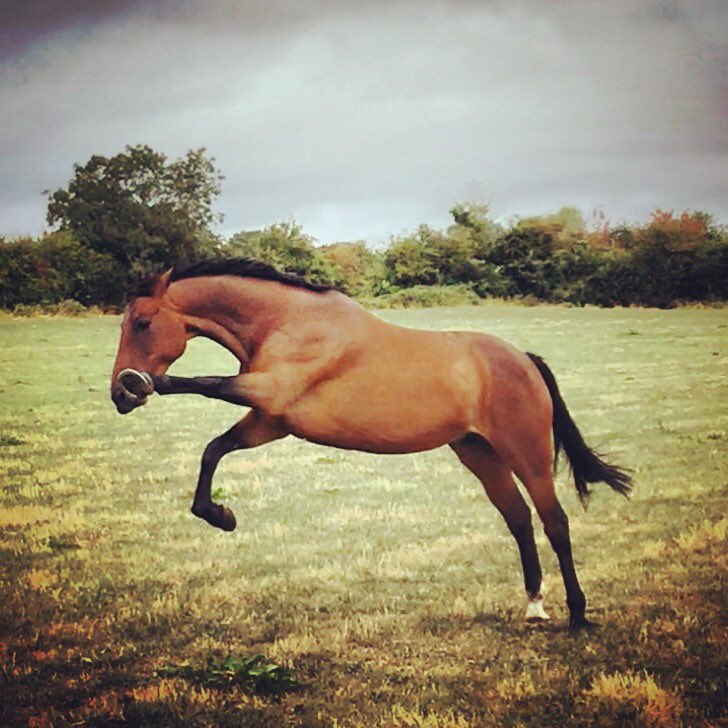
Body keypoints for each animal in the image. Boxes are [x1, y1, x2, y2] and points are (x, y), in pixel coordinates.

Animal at [110, 258, 631, 630]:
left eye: (142, 322)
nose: (117, 393)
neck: (289, 321)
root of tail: (523, 358)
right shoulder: (269, 420)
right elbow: (213, 450)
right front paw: (220, 515)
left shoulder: (268, 394)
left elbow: (199, 382)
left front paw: (143, 383)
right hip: (478, 453)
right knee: (519, 519)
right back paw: (535, 606)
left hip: (528, 453)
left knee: (555, 522)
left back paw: (578, 615)